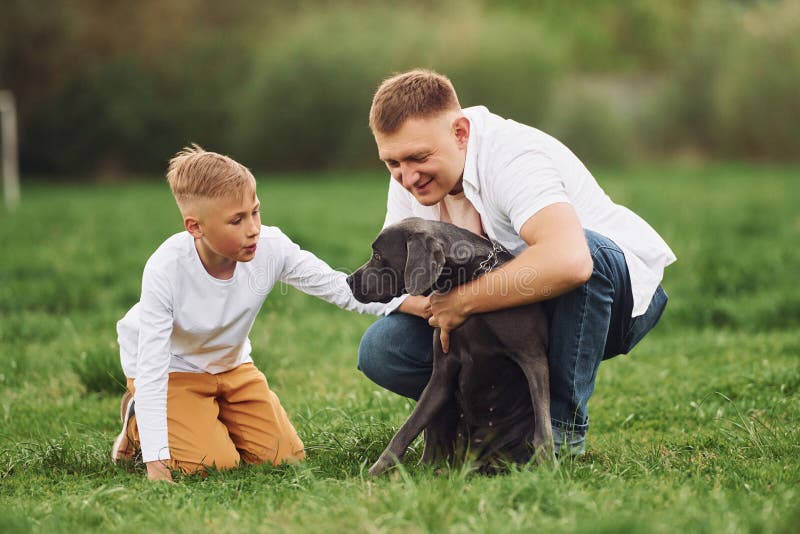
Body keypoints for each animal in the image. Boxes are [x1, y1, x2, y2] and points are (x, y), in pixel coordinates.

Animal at [346, 218, 552, 478]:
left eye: (378, 255)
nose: (348, 281)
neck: (466, 279)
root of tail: (472, 461)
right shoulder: (442, 373)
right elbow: (408, 428)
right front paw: (374, 472)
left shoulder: (532, 357)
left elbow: (543, 426)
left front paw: (548, 468)